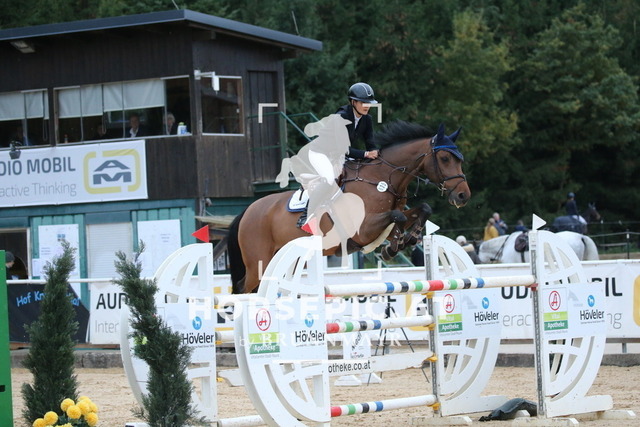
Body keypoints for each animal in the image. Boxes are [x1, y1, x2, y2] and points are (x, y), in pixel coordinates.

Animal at [227, 120, 471, 293]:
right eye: (445, 158)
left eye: (459, 159)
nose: (463, 196)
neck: (382, 179)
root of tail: (247, 211)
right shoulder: (362, 230)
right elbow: (397, 217)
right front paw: (393, 246)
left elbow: (421, 209)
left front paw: (407, 239)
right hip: (258, 261)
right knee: (243, 287)